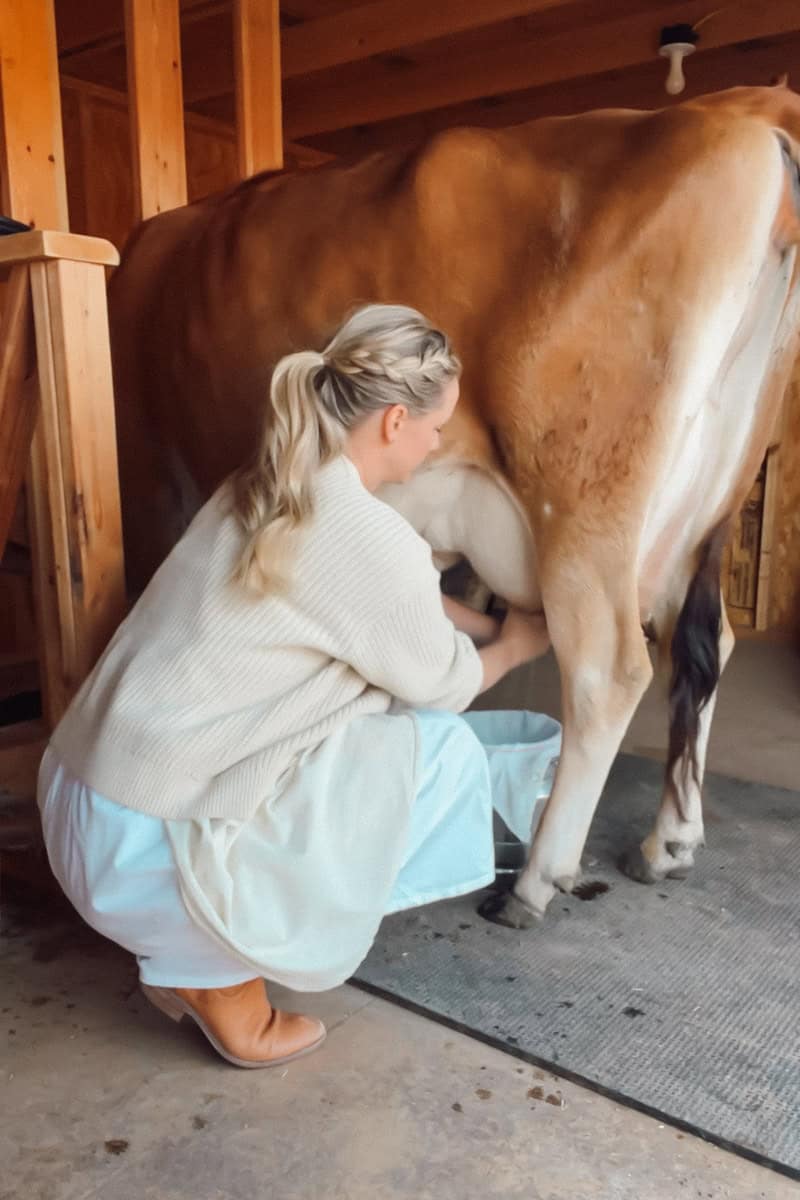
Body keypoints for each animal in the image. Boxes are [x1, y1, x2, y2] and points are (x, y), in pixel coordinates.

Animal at [108, 84, 800, 929]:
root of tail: (742, 109)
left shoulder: (152, 481)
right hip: (706, 503)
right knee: (706, 645)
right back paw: (669, 842)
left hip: (584, 508)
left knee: (609, 668)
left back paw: (537, 880)